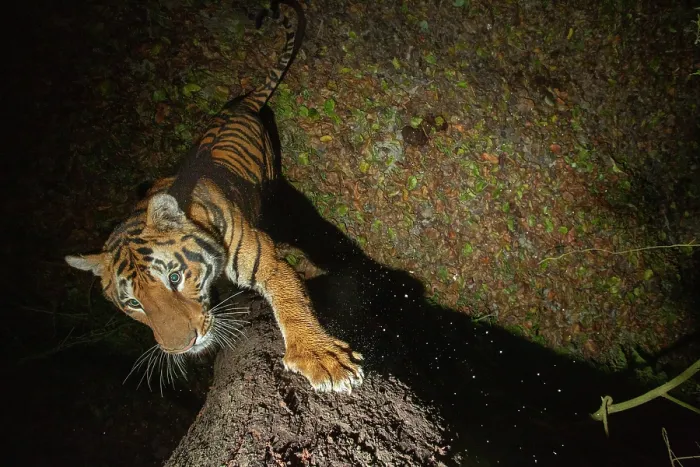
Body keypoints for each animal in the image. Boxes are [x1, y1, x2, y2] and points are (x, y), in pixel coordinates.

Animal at [65, 0, 363, 394]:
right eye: (132, 302)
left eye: (174, 278)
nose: (182, 346)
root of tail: (241, 104)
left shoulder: (267, 262)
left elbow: (291, 301)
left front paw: (320, 357)